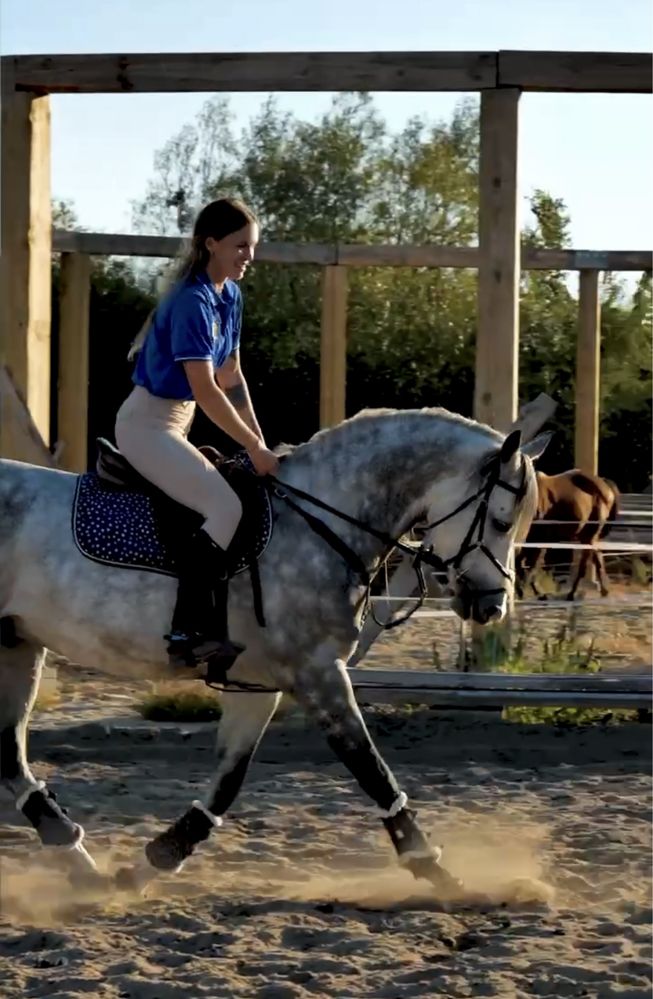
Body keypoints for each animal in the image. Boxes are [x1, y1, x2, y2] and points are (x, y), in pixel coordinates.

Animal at [0, 406, 544, 900]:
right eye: (500, 520)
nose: (492, 606)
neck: (317, 522)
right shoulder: (317, 672)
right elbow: (370, 768)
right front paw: (438, 873)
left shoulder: (257, 684)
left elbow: (228, 783)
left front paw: (150, 864)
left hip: (18, 643)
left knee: (10, 755)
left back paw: (81, 864)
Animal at [516, 470, 620, 600]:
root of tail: (606, 485)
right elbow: (521, 562)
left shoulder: (539, 539)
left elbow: (531, 565)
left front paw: (533, 592)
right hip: (588, 537)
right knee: (598, 559)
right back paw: (603, 591)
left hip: (589, 537)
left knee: (584, 566)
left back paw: (572, 593)